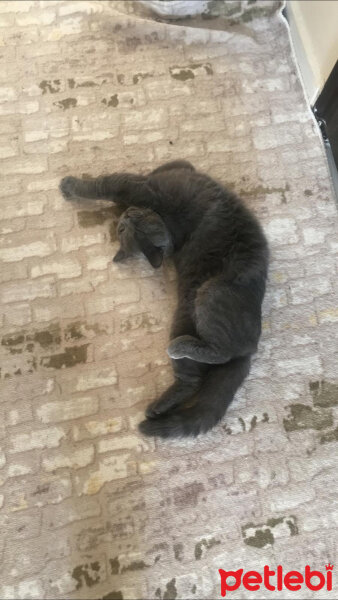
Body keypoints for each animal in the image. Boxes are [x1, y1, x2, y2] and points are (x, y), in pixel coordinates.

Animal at [59, 159, 268, 438]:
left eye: (126, 228)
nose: (128, 215)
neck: (171, 226)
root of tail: (248, 350)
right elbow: (173, 165)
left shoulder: (139, 188)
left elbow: (106, 184)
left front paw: (70, 186)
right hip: (184, 317)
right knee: (191, 380)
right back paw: (157, 409)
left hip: (210, 292)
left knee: (223, 352)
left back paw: (176, 353)